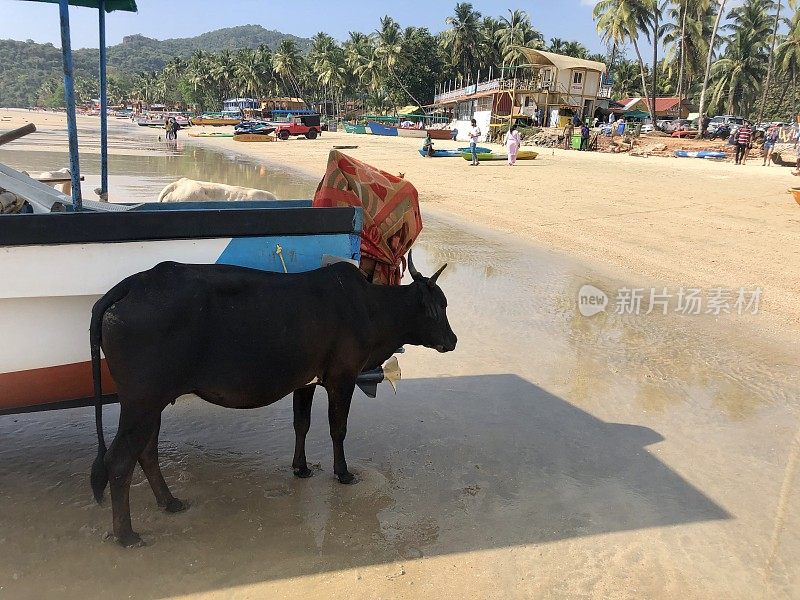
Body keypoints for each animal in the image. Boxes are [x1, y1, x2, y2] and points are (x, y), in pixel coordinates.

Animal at [89, 251, 456, 548]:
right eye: (438, 308)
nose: (452, 340)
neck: (370, 308)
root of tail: (137, 282)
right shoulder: (342, 378)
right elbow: (337, 428)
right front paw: (343, 473)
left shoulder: (306, 381)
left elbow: (301, 423)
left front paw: (301, 468)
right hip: (141, 402)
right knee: (119, 461)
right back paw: (126, 535)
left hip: (151, 403)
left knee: (146, 452)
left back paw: (169, 502)